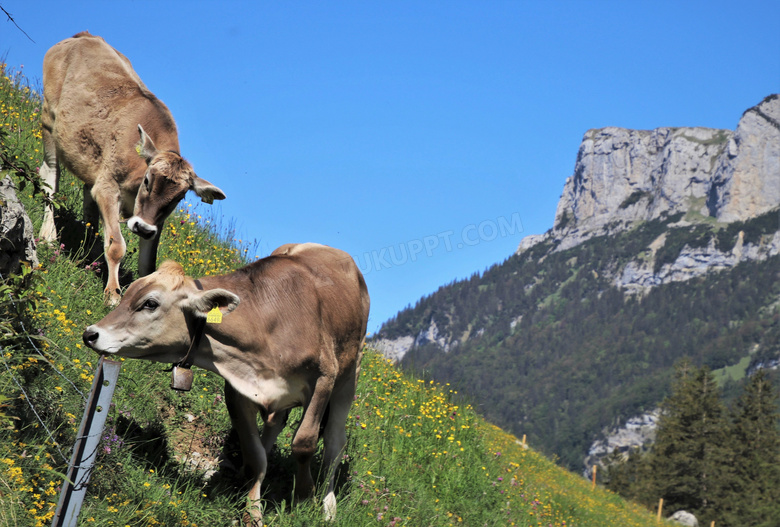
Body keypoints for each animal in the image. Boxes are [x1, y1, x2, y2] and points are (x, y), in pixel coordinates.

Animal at [39, 32, 225, 306]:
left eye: (179, 198)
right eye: (148, 181)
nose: (142, 228)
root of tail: (84, 36)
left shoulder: (155, 220)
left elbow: (148, 264)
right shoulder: (108, 188)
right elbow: (117, 246)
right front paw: (113, 294)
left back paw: (89, 248)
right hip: (49, 120)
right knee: (51, 177)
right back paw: (49, 235)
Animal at [82, 243, 372, 524]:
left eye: (150, 303)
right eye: (128, 292)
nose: (90, 333)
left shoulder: (323, 380)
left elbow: (304, 443)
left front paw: (303, 496)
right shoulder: (238, 390)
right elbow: (255, 455)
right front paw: (253, 509)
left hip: (349, 378)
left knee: (335, 442)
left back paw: (328, 506)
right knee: (273, 427)